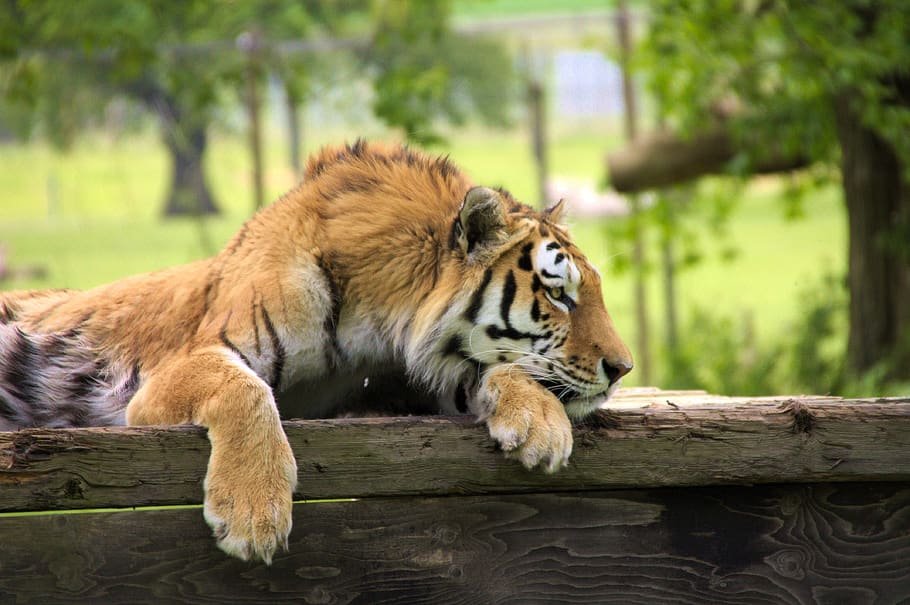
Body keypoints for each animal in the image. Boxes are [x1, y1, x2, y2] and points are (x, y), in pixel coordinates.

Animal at [0, 140, 632, 564]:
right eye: (559, 294)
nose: (623, 369)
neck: (379, 320)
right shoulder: (182, 369)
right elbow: (246, 390)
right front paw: (253, 513)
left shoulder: (395, 388)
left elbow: (492, 371)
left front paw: (540, 423)